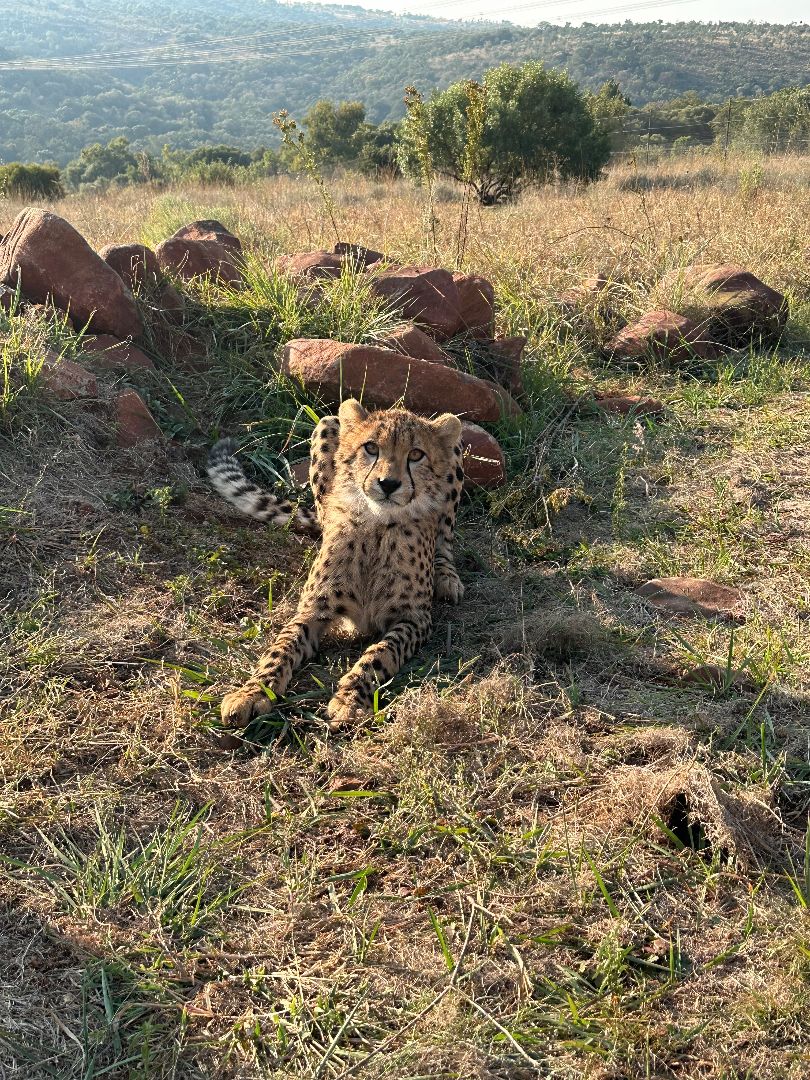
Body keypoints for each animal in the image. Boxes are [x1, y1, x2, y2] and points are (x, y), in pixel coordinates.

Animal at [206, 397, 466, 725]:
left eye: (416, 454)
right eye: (371, 448)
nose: (388, 483)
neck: (379, 524)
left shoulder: (414, 618)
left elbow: (380, 653)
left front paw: (350, 698)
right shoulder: (311, 611)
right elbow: (280, 648)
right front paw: (251, 693)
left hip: (456, 450)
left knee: (445, 542)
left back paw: (445, 577)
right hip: (327, 424)